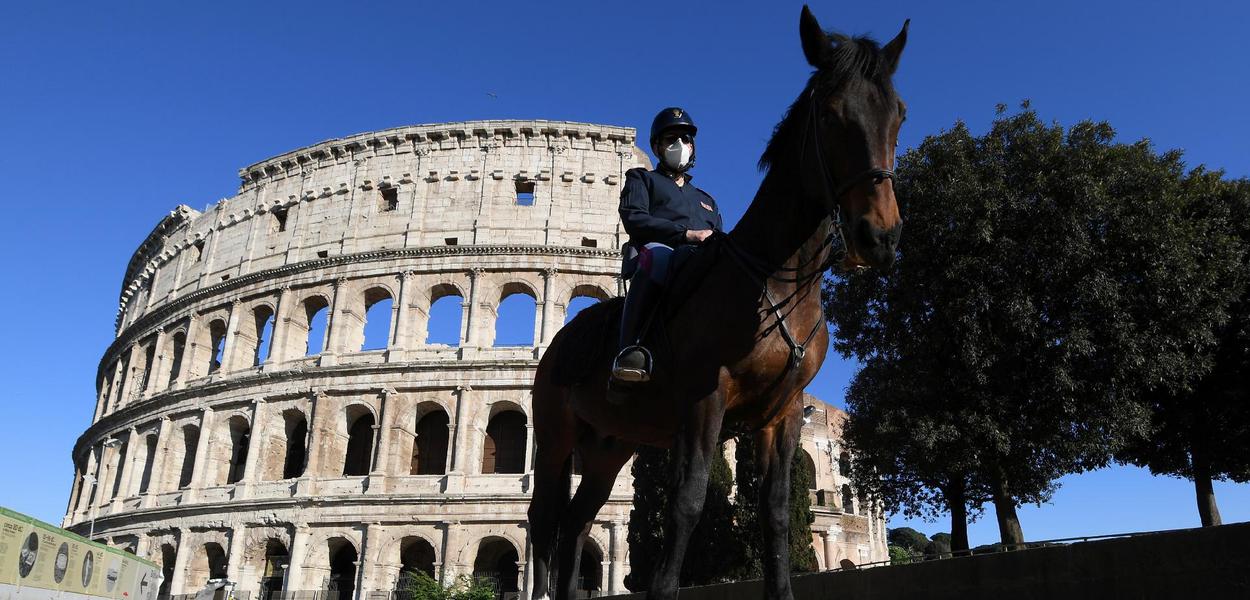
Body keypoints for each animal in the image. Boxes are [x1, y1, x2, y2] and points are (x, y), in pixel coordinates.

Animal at [527, 5, 910, 600]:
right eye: (830, 115)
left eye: (899, 116)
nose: (880, 237)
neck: (774, 281)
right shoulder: (704, 400)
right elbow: (687, 503)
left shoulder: (782, 415)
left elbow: (775, 512)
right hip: (555, 438)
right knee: (544, 523)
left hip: (611, 446)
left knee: (577, 522)